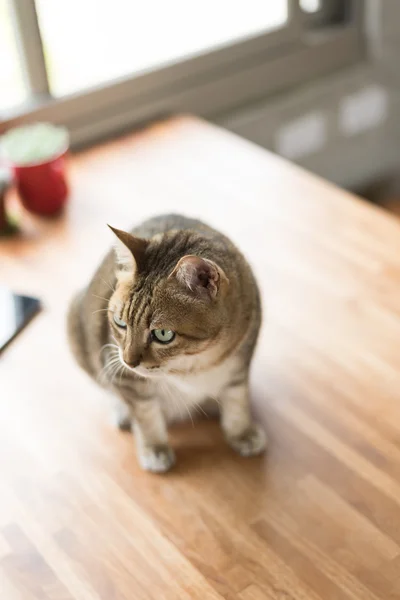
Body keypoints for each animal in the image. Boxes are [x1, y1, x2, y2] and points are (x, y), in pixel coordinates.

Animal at [67, 213, 268, 472]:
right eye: (120, 322)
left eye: (163, 334)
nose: (129, 361)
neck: (196, 364)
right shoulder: (125, 376)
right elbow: (146, 416)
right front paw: (155, 449)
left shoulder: (240, 364)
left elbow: (237, 401)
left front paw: (242, 433)